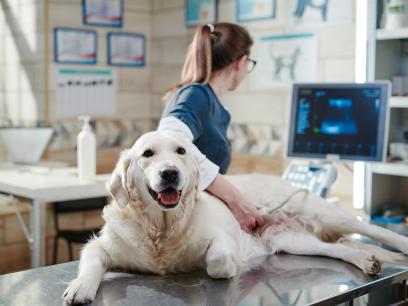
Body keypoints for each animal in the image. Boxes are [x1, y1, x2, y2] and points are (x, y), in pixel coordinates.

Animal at [62, 130, 408, 304]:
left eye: (181, 151)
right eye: (147, 154)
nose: (170, 173)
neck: (161, 227)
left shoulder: (222, 236)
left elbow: (216, 259)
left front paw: (228, 266)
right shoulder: (100, 246)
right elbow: (91, 262)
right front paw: (80, 287)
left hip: (320, 210)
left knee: (371, 230)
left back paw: (396, 245)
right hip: (293, 240)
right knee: (338, 248)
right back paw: (366, 260)